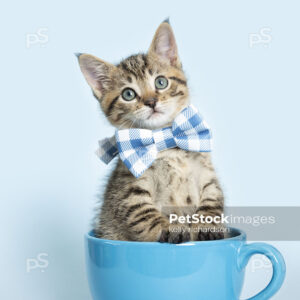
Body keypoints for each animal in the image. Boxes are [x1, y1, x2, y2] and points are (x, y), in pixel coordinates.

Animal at [77, 19, 225, 243]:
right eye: (128, 94)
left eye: (161, 82)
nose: (151, 101)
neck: (165, 140)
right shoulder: (129, 190)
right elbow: (144, 214)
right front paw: (169, 229)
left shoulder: (207, 176)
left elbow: (213, 199)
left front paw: (208, 225)